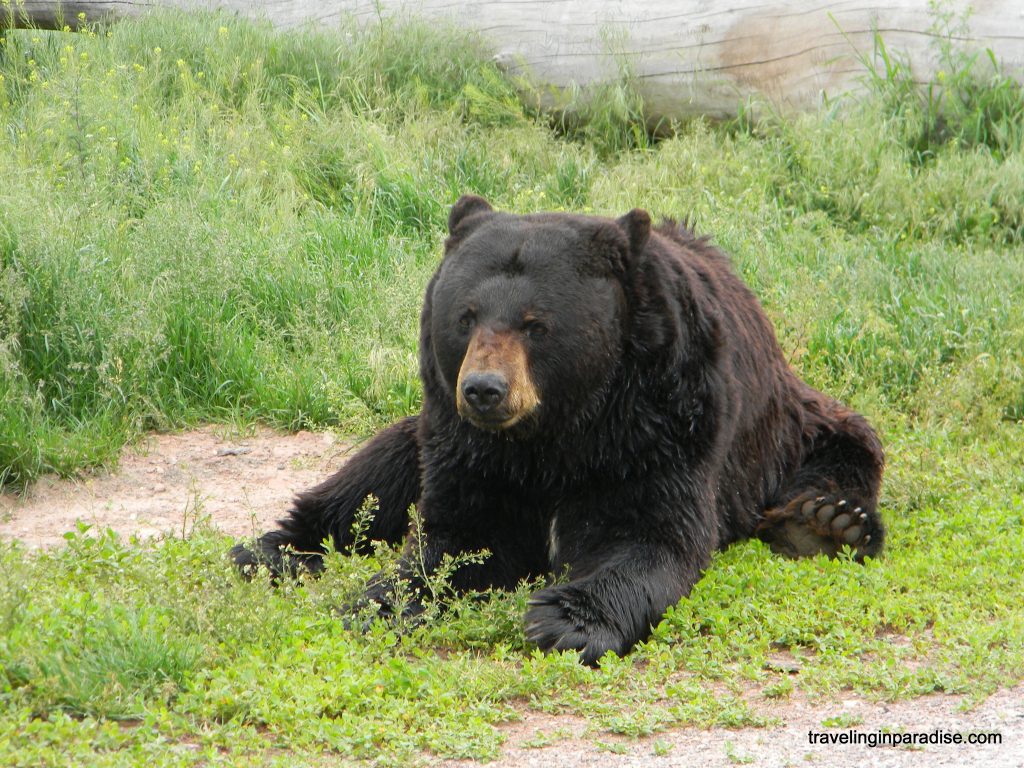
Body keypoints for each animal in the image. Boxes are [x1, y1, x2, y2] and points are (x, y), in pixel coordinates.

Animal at [230, 196, 880, 667]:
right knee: (373, 476)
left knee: (845, 445)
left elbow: (651, 535)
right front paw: (378, 600)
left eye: (534, 324)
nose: (484, 389)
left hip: (782, 431)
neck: (560, 429)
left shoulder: (662, 426)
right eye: (465, 316)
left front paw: (565, 621)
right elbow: (453, 537)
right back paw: (271, 551)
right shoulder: (472, 451)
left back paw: (826, 523)